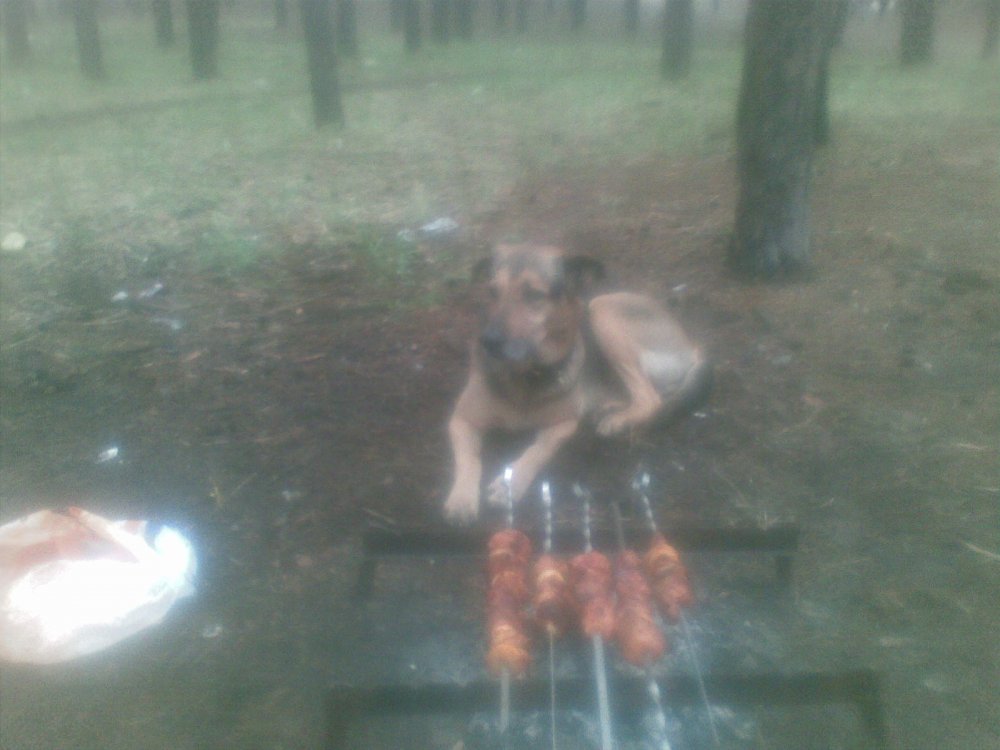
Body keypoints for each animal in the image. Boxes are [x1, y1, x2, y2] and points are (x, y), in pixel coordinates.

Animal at [443, 242, 709, 523]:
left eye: (534, 295)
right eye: (493, 291)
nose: (488, 342)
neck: (525, 374)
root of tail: (692, 345)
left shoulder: (564, 425)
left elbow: (539, 450)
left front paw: (511, 484)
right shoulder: (461, 420)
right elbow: (468, 459)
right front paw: (462, 497)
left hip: (601, 309)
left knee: (650, 398)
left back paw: (617, 420)